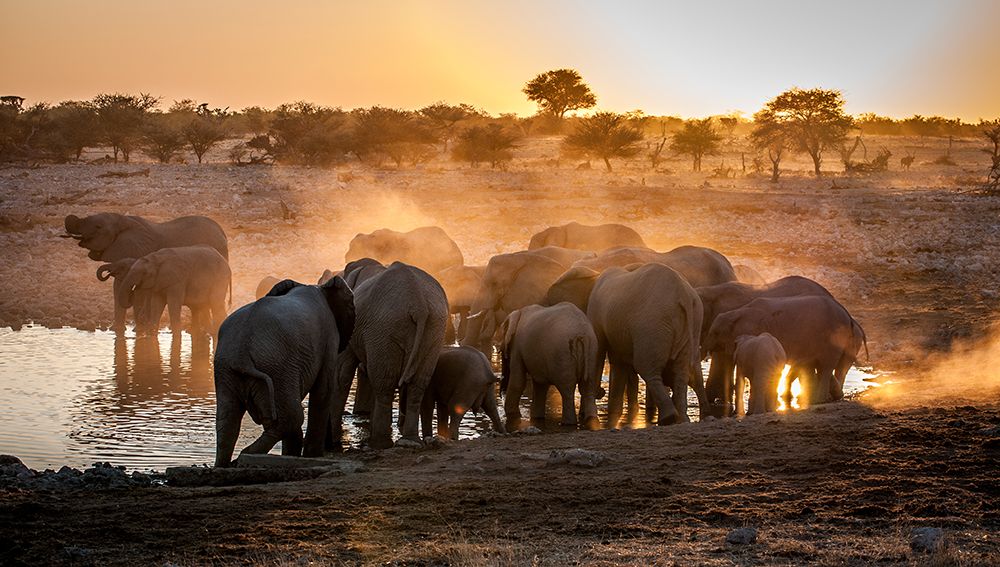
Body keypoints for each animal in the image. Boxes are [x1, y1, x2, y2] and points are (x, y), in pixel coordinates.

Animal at [213, 276, 355, 467]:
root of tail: (241, 354)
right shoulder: (329, 337)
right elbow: (323, 391)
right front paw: (312, 456)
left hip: (228, 369)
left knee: (228, 420)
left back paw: (226, 464)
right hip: (277, 367)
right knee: (292, 417)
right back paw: (243, 457)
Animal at [331, 262, 449, 450]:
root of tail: (419, 304)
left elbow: (343, 371)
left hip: (385, 327)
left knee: (384, 384)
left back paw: (380, 444)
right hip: (434, 330)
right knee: (418, 384)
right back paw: (410, 440)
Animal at [587, 263, 706, 427]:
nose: (601, 392)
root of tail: (684, 295)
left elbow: (599, 351)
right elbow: (618, 362)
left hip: (652, 323)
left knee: (646, 367)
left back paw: (668, 419)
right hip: (692, 323)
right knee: (681, 372)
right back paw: (682, 419)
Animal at [703, 295, 862, 407]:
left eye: (715, 333)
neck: (736, 312)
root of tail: (848, 316)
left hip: (834, 337)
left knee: (826, 367)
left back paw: (819, 400)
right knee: (834, 367)